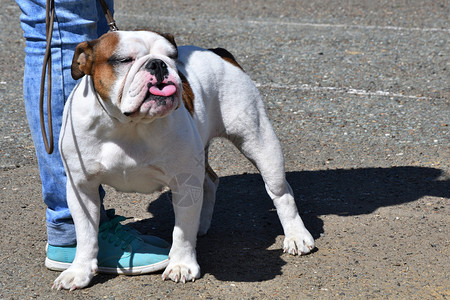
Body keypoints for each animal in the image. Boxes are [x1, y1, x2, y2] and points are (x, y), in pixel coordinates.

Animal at [54, 29, 314, 288]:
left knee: (281, 192)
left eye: (172, 56)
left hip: (258, 140)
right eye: (124, 60)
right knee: (210, 181)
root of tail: (219, 53)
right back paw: (202, 223)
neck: (128, 124)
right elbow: (86, 233)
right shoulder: (82, 189)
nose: (158, 64)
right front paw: (79, 271)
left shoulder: (185, 182)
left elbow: (181, 232)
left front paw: (181, 265)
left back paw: (297, 236)